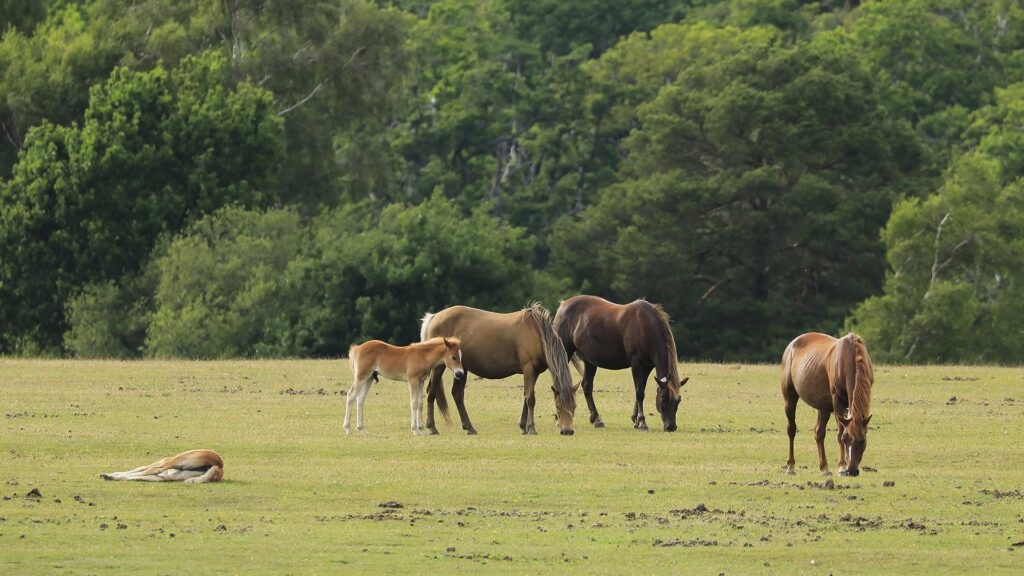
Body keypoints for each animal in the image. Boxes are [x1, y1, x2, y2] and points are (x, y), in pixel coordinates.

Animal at [419, 303, 576, 436]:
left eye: (574, 407)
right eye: (558, 406)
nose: (568, 431)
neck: (538, 334)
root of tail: (434, 317)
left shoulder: (534, 372)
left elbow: (526, 396)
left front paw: (523, 426)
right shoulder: (529, 369)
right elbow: (531, 399)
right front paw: (531, 428)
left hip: (462, 369)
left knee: (457, 394)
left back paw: (469, 428)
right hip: (439, 367)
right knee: (431, 392)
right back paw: (432, 428)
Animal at [553, 295, 688, 432]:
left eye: (678, 401)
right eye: (663, 399)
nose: (671, 427)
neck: (644, 326)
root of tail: (563, 305)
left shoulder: (647, 367)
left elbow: (641, 391)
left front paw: (635, 420)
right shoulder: (636, 364)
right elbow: (639, 393)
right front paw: (642, 422)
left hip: (589, 361)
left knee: (586, 385)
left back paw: (596, 420)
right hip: (565, 351)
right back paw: (560, 419)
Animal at [780, 332, 874, 477]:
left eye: (863, 440)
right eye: (845, 440)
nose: (852, 471)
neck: (850, 356)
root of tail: (791, 346)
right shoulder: (837, 401)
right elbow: (839, 432)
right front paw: (842, 467)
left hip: (823, 406)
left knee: (819, 432)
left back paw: (824, 468)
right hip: (789, 398)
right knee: (791, 429)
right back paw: (790, 467)